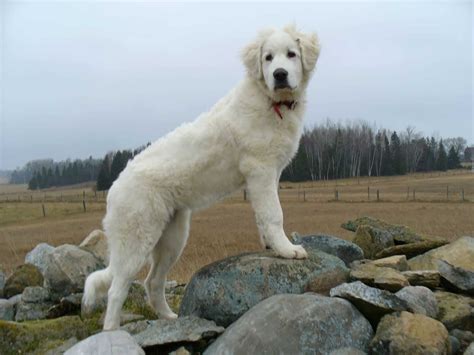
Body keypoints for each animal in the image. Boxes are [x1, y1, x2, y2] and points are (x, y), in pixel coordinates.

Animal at [84, 25, 322, 330]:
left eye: (291, 54)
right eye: (268, 58)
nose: (279, 75)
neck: (271, 102)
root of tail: (114, 188)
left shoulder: (267, 175)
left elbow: (263, 215)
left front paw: (271, 244)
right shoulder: (260, 169)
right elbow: (273, 214)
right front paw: (287, 249)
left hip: (172, 238)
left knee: (152, 282)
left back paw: (169, 318)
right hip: (136, 240)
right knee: (116, 290)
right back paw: (112, 332)